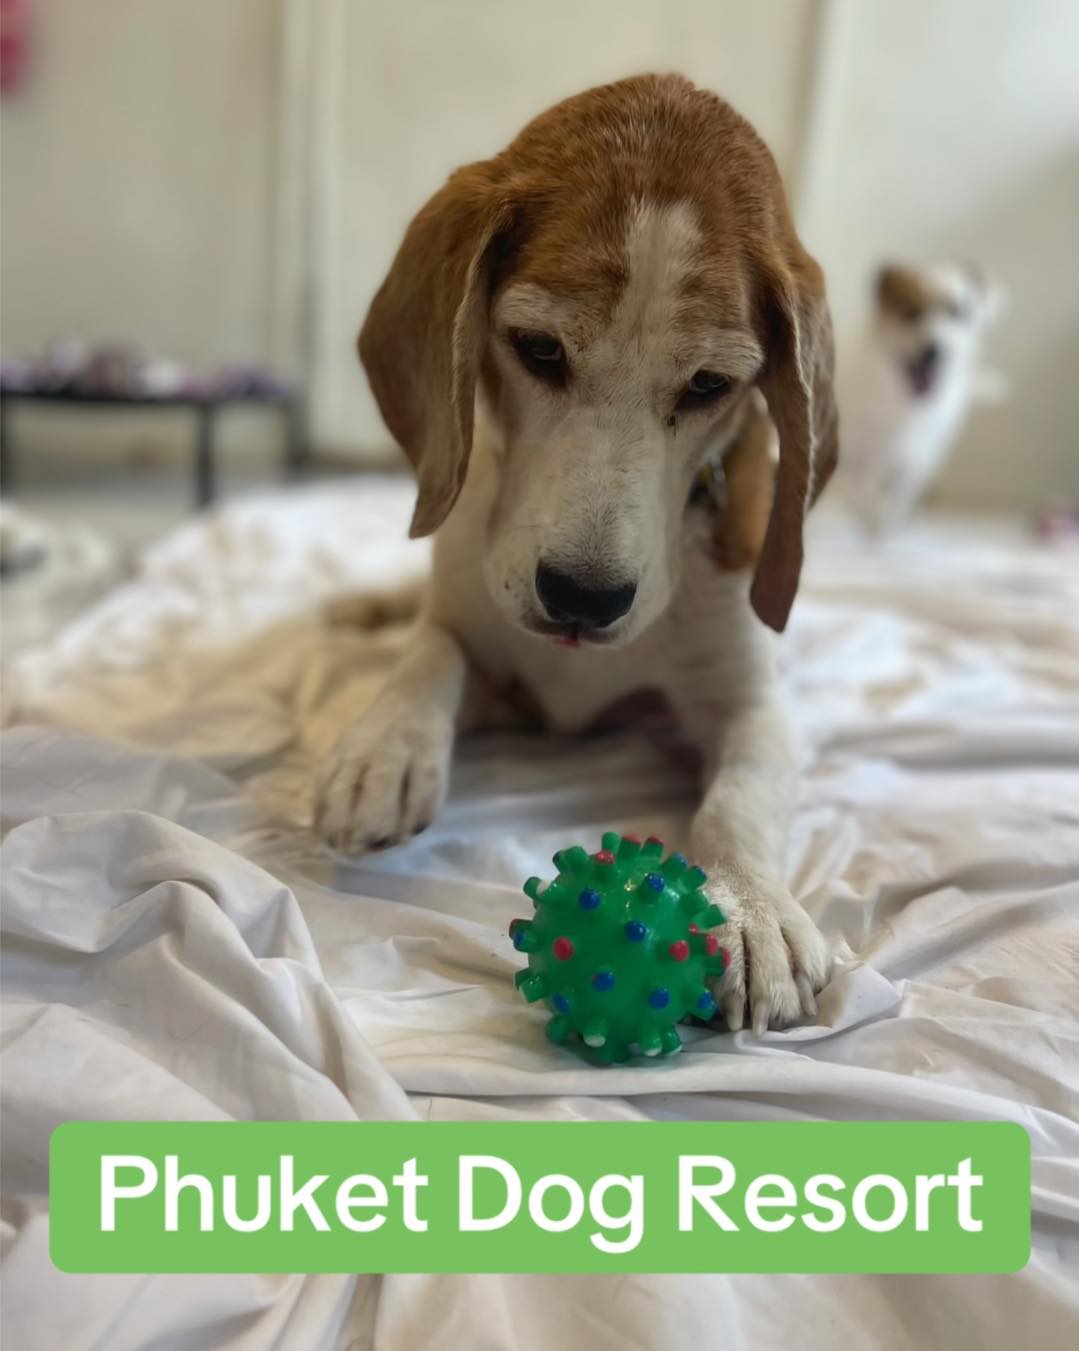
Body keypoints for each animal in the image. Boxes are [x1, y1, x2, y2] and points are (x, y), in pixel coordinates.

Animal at [314, 75, 838, 1035]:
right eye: (538, 349)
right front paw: (383, 747)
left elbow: (739, 795)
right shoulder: (479, 643)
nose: (582, 599)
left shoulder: (751, 702)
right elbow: (430, 654)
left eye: (708, 385)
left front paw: (749, 904)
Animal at [838, 261, 1004, 535]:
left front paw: (885, 521)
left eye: (957, 313)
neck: (902, 406)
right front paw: (872, 518)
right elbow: (861, 492)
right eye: (911, 312)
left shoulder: (917, 457)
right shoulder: (851, 454)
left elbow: (900, 491)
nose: (934, 350)